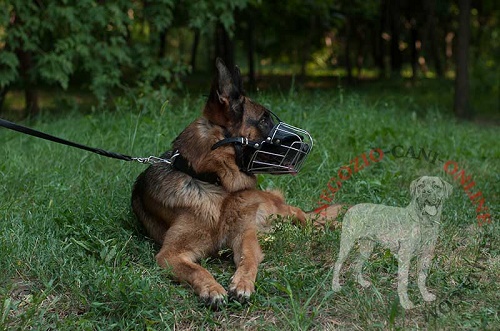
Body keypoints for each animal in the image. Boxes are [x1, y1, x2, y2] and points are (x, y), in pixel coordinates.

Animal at [133, 59, 312, 308]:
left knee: (300, 213)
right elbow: (196, 269)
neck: (215, 184)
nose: (304, 146)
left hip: (275, 210)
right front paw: (211, 288)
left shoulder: (243, 236)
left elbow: (248, 258)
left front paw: (243, 283)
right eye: (264, 120)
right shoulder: (170, 254)